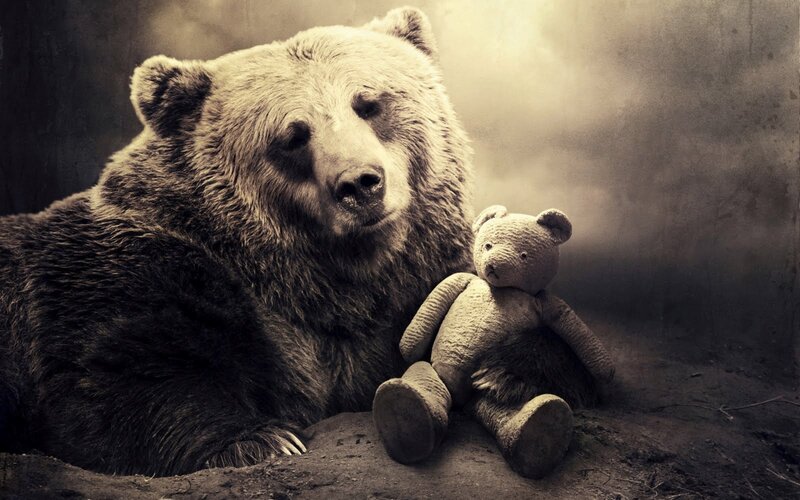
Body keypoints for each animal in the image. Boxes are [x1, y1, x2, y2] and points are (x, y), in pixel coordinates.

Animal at [0, 7, 474, 476]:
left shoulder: (398, 299)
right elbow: (120, 374)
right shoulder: (131, 270)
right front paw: (265, 440)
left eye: (370, 103)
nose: (359, 183)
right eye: (292, 135)